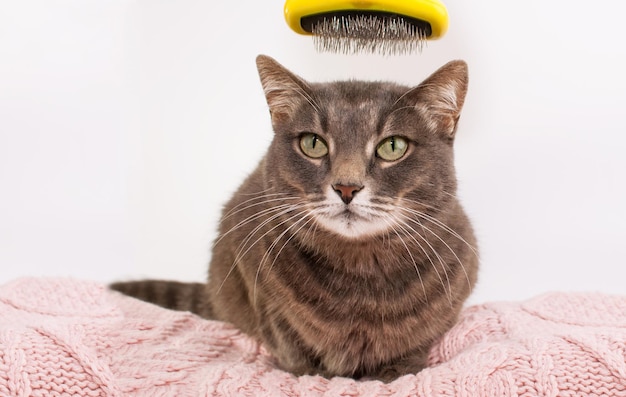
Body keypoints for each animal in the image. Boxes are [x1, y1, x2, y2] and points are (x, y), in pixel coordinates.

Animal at [109, 55, 476, 380]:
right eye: (313, 143)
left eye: (393, 146)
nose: (346, 186)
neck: (360, 269)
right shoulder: (258, 280)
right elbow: (288, 338)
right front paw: (312, 372)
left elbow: (419, 339)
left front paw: (395, 371)